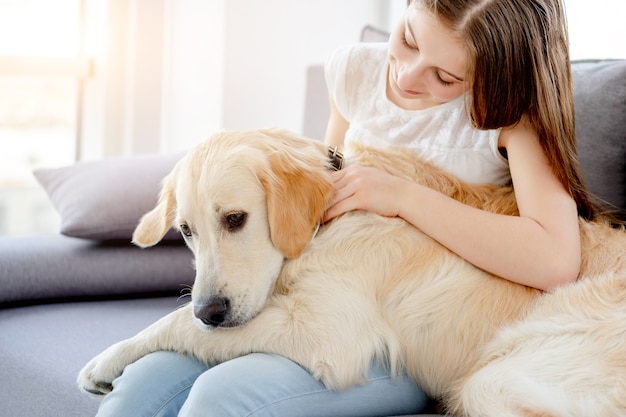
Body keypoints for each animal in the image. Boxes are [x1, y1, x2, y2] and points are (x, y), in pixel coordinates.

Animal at [77, 128, 624, 414]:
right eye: (187, 231)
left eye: (235, 219)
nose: (210, 310)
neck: (327, 222)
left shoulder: (329, 334)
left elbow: (177, 324)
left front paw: (106, 359)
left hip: (495, 380)